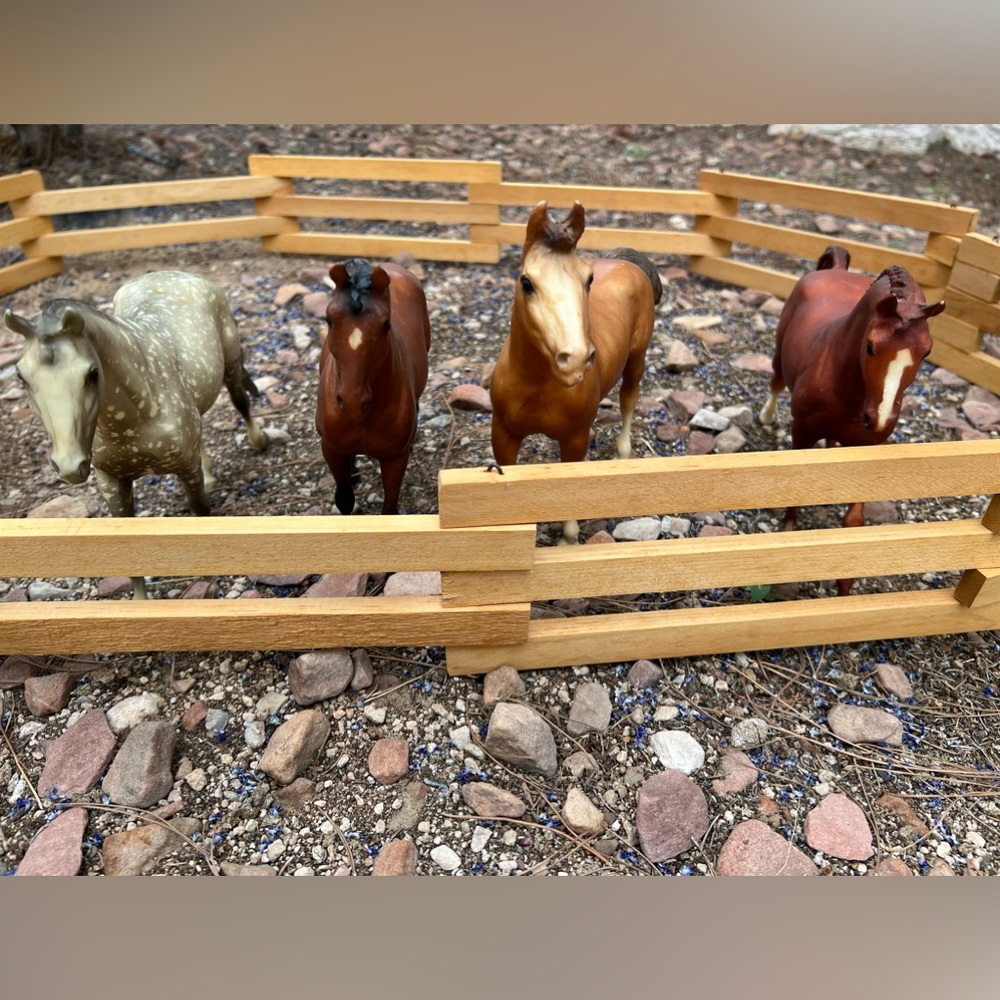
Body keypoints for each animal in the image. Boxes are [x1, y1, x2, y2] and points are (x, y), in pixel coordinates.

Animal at [5, 270, 271, 599]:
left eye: (92, 373)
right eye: (21, 376)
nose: (70, 466)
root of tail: (172, 274)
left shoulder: (186, 468)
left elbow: (201, 513)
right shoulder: (110, 481)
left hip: (231, 363)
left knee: (240, 402)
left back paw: (259, 440)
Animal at [316, 257, 431, 515]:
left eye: (386, 325)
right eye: (329, 320)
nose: (353, 402)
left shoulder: (394, 459)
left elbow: (389, 510)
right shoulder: (332, 450)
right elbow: (345, 500)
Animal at [489, 200, 661, 544]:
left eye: (588, 280)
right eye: (526, 282)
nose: (576, 359)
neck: (538, 386)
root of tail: (627, 261)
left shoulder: (575, 439)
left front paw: (568, 540)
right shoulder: (503, 434)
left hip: (636, 359)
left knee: (629, 399)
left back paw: (622, 454)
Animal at [759, 245, 945, 595]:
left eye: (926, 352)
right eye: (870, 346)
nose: (879, 420)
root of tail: (836, 269)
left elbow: (853, 523)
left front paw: (845, 588)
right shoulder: (801, 434)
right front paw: (789, 529)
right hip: (778, 355)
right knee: (775, 381)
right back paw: (766, 416)